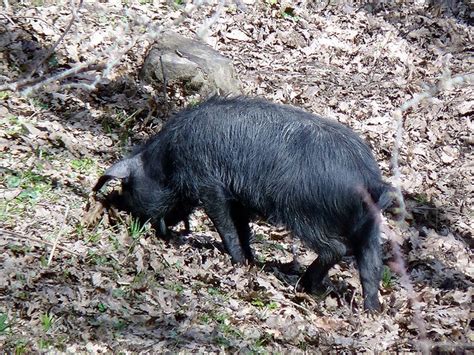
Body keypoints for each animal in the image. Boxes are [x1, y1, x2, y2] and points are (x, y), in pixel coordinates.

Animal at [93, 96, 392, 312]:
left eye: (127, 186)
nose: (115, 206)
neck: (166, 160)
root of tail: (370, 179)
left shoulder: (209, 183)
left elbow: (225, 225)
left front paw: (237, 261)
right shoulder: (238, 198)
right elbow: (243, 229)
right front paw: (250, 262)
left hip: (306, 215)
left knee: (336, 249)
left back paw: (305, 286)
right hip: (369, 228)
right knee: (372, 267)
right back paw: (371, 311)